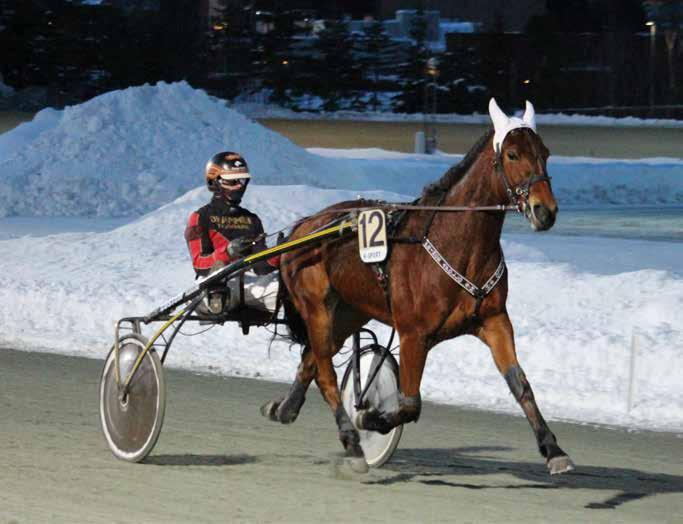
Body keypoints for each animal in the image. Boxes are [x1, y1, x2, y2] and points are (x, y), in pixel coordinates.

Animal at [260, 97, 576, 474]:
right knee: (325, 373)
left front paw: (553, 448)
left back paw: (285, 408)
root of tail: (303, 226)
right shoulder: (414, 334)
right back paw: (351, 440)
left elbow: (521, 384)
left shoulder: (494, 320)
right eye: (512, 154)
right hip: (317, 308)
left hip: (349, 312)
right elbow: (410, 404)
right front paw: (370, 417)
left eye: (545, 152)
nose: (545, 211)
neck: (457, 243)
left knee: (310, 359)